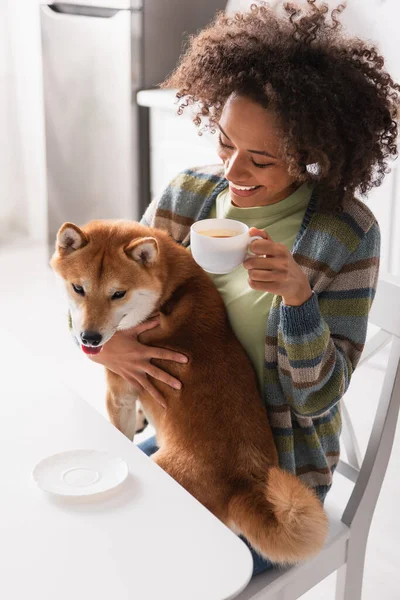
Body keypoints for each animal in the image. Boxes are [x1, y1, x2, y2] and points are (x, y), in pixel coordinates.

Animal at [50, 219, 328, 564]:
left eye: (118, 294)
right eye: (79, 288)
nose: (89, 338)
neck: (168, 292)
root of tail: (242, 483)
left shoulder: (121, 391)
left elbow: (122, 433)